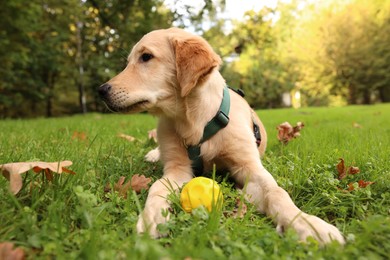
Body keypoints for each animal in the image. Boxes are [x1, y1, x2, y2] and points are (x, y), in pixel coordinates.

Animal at [98, 27, 344, 245]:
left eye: (146, 57)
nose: (101, 91)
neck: (195, 120)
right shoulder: (177, 169)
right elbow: (157, 187)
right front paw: (151, 217)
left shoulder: (249, 168)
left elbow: (277, 193)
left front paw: (307, 224)